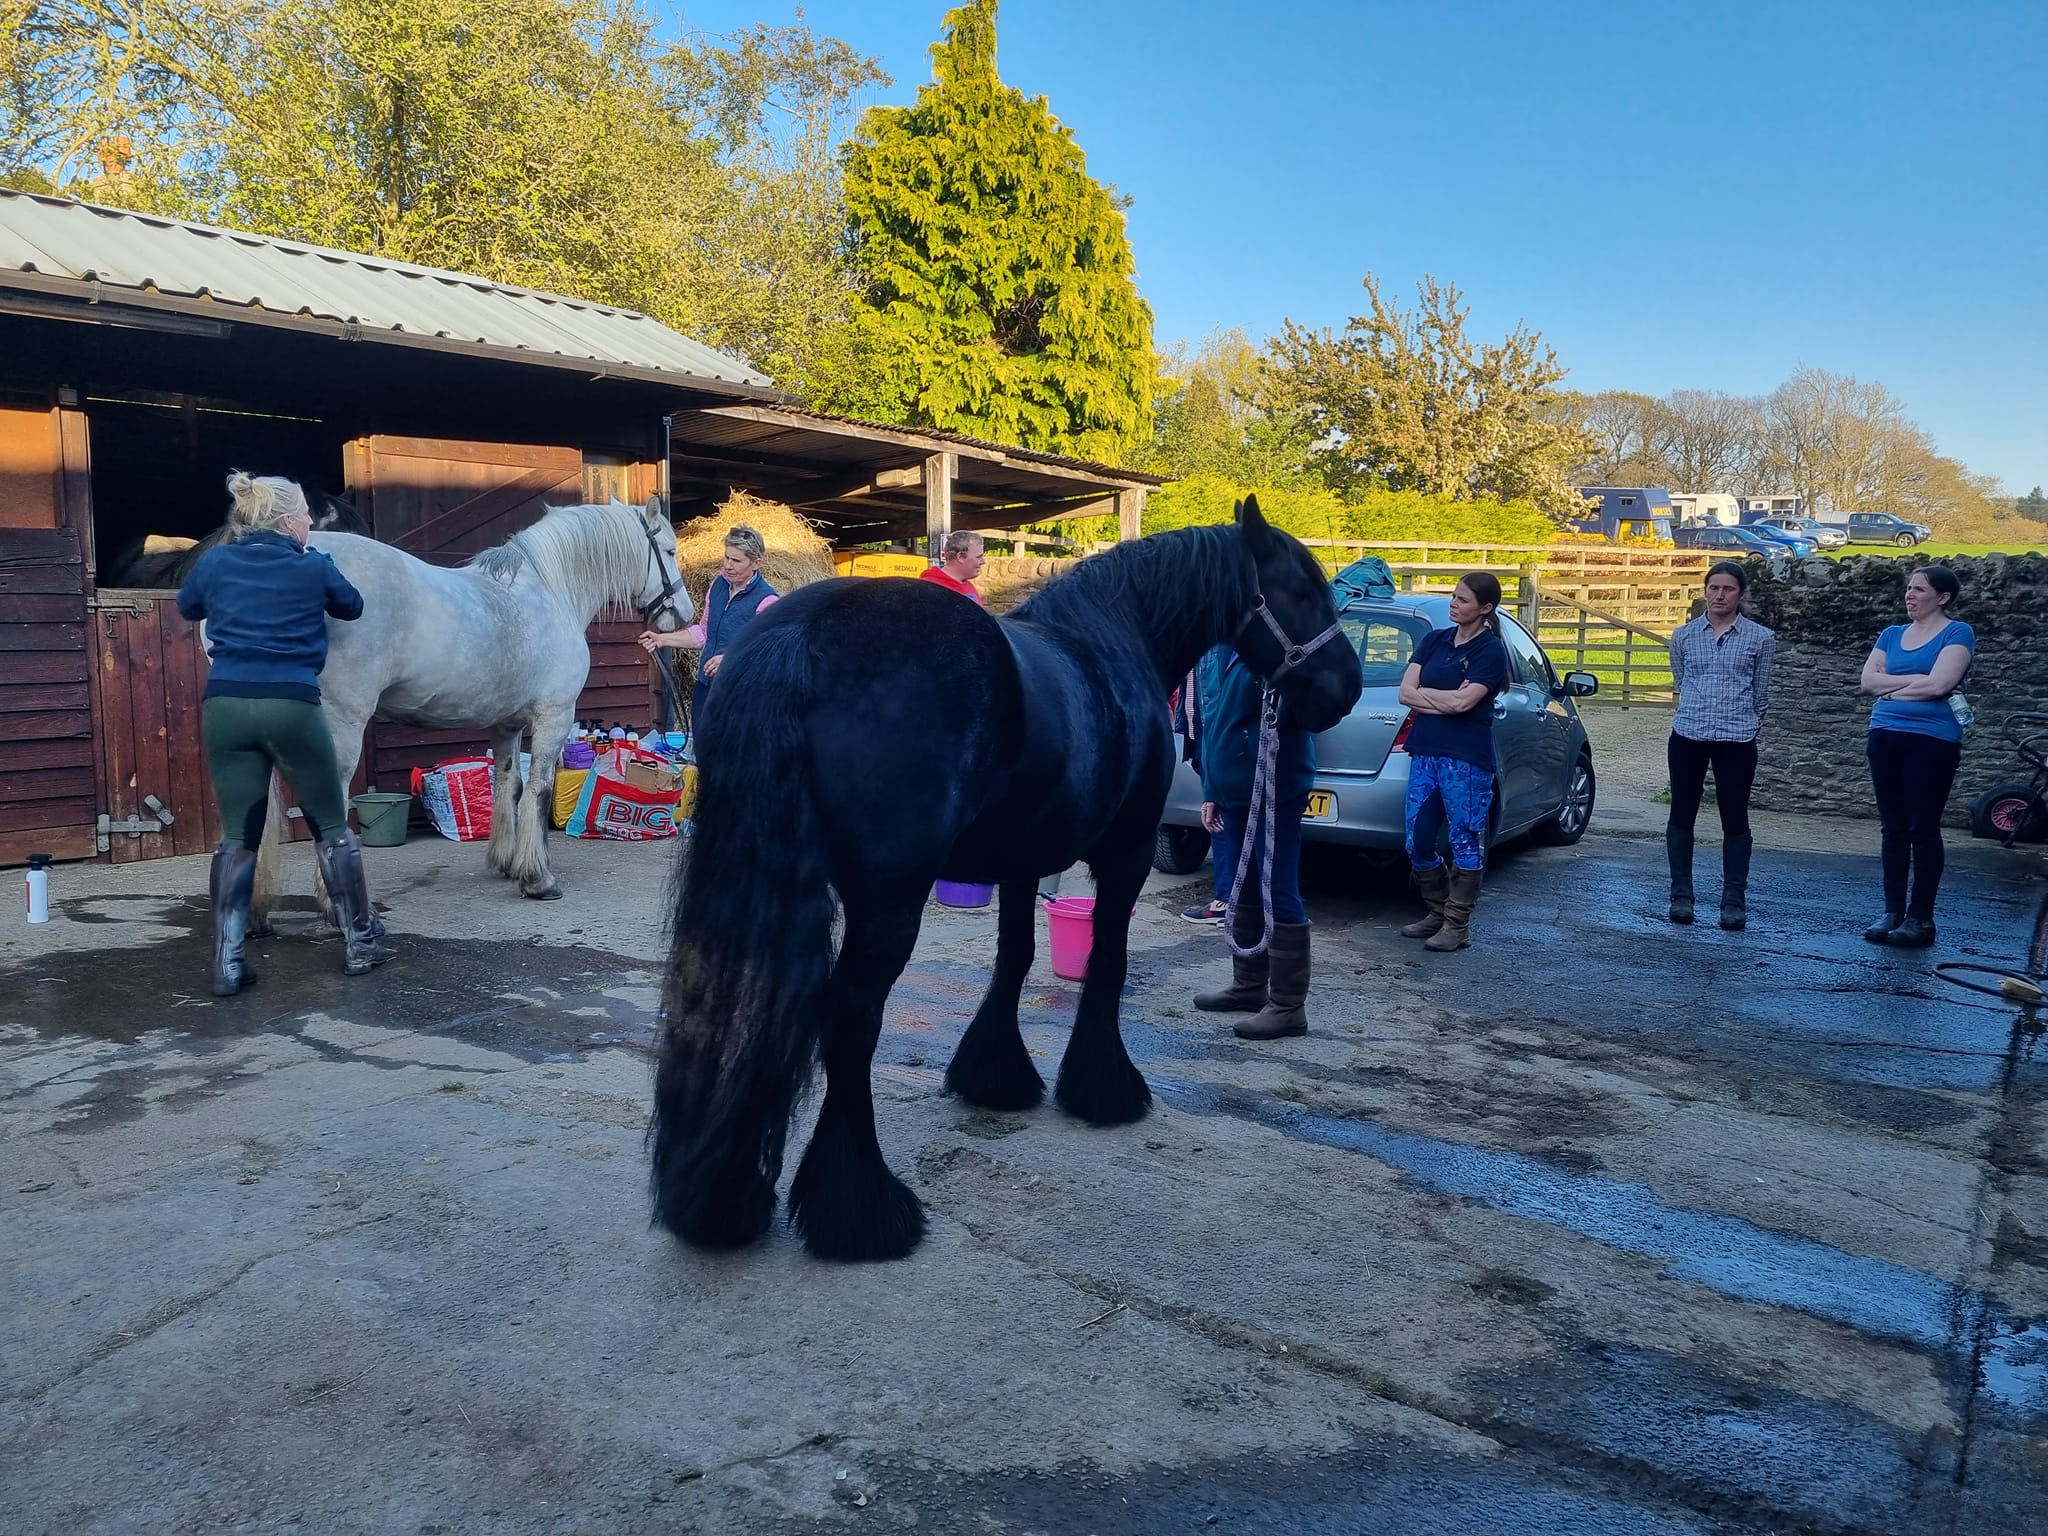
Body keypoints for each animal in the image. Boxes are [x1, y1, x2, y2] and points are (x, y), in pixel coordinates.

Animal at [647, 495, 1368, 1261]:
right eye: (1303, 590)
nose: (1346, 688)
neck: (1118, 636)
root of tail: (801, 637)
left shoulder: (1024, 860)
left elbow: (1015, 958)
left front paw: (994, 1075)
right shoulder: (1126, 854)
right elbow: (1107, 964)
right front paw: (1104, 1089)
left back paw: (721, 1202)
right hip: (889, 899)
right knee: (851, 1017)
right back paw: (861, 1211)